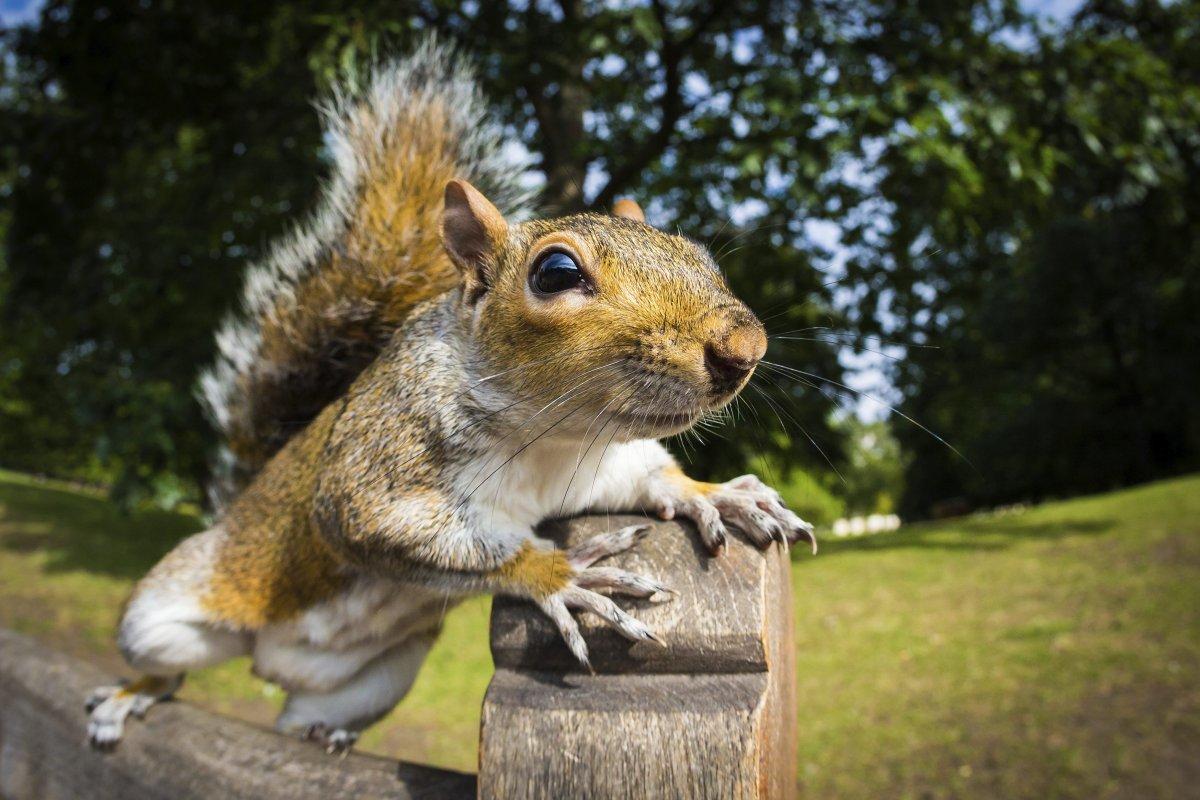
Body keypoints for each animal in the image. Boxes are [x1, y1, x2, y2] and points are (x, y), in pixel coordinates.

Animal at [84, 37, 816, 753]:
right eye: (556, 272)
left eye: (698, 253)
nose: (746, 349)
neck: (551, 439)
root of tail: (268, 657)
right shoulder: (370, 477)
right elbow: (426, 537)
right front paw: (563, 574)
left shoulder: (596, 471)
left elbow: (651, 478)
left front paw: (717, 494)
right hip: (173, 604)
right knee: (164, 664)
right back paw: (129, 696)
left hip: (381, 676)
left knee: (297, 714)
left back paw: (323, 730)